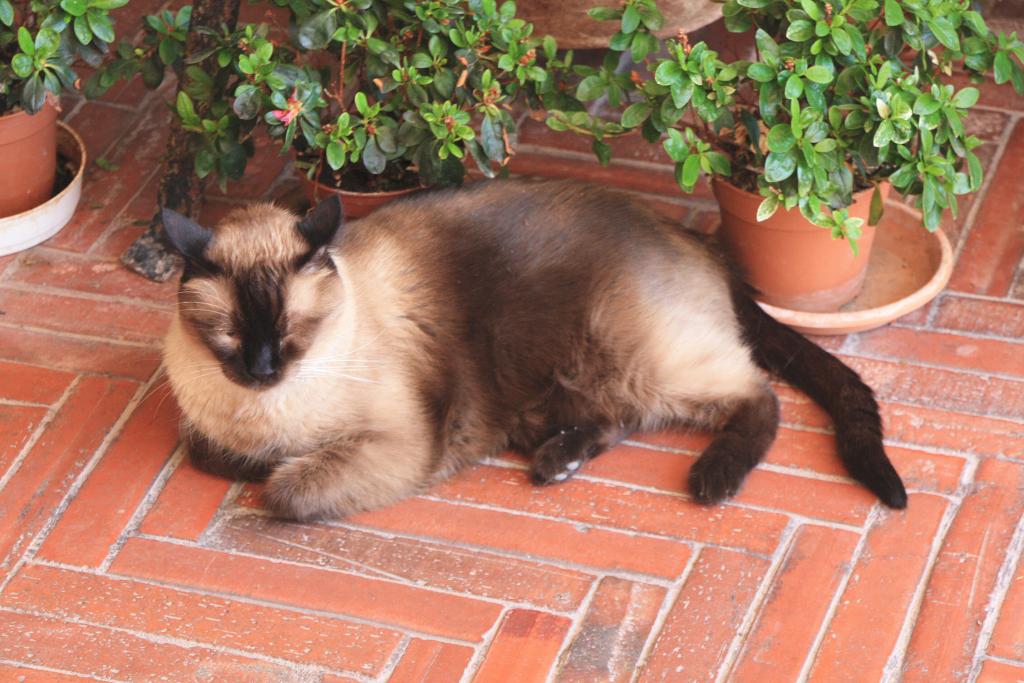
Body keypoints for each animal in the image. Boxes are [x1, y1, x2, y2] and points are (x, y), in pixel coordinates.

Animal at [163, 179, 909, 520]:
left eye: (290, 333)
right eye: (232, 337)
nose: (262, 369)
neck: (268, 414)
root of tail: (700, 240)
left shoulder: (396, 444)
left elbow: (285, 489)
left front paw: (272, 476)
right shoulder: (206, 430)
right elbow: (210, 453)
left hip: (638, 358)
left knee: (757, 394)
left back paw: (711, 480)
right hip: (582, 380)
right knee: (620, 417)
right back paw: (558, 462)